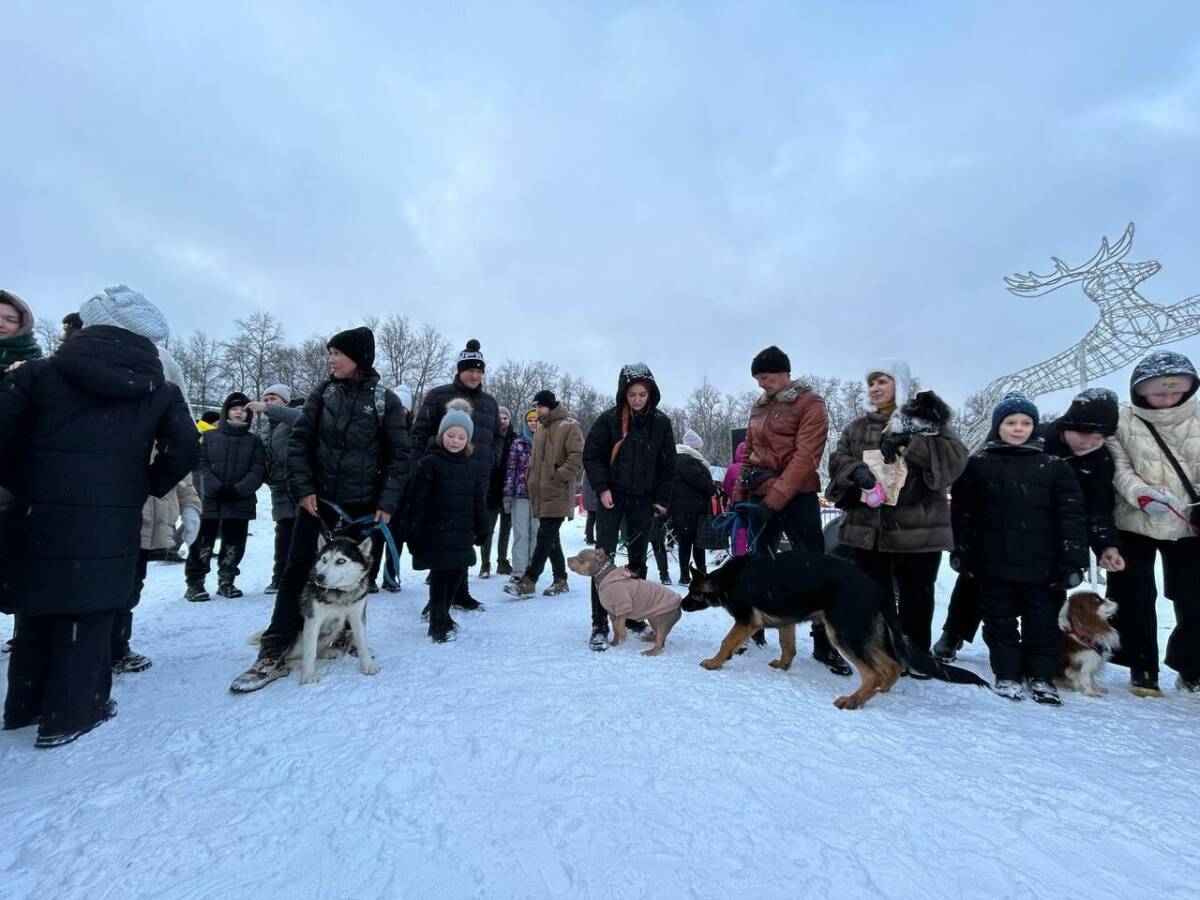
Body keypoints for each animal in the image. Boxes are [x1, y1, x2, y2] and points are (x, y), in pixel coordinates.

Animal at [297, 535, 376, 681]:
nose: (319, 577)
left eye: (340, 561)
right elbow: (310, 651)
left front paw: (368, 665)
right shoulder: (313, 620)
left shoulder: (357, 616)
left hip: (334, 629)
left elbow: (362, 643)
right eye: (324, 559)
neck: (339, 593)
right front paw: (308, 675)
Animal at [681, 554, 988, 710]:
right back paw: (881, 690)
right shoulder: (786, 621)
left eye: (692, 592)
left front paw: (715, 662)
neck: (723, 580)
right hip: (861, 633)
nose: (682, 605)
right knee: (890, 666)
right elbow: (788, 646)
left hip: (843, 632)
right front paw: (783, 665)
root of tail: (879, 591)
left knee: (875, 671)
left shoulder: (747, 622)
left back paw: (853, 700)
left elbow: (726, 642)